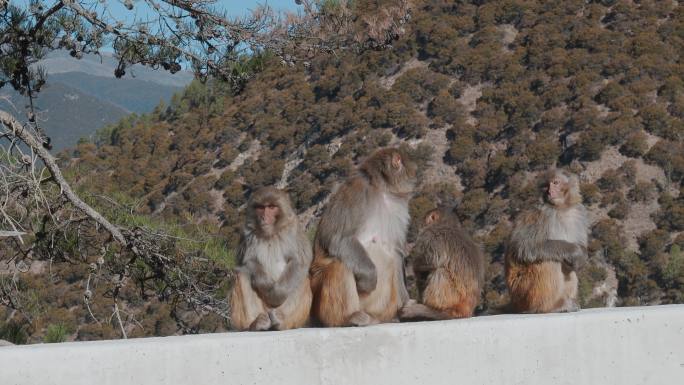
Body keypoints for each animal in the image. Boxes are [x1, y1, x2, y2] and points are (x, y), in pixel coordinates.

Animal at [231, 186, 314, 330]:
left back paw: (282, 322)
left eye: (271, 207)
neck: (270, 233)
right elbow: (247, 261)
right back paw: (254, 324)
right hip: (262, 309)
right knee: (242, 274)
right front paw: (267, 288)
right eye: (260, 207)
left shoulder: (293, 230)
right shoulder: (246, 234)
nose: (264, 217)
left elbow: (299, 260)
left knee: (302, 279)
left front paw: (276, 295)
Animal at [310, 147, 416, 328]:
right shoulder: (357, 192)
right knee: (340, 264)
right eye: (410, 166)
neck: (381, 190)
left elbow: (396, 252)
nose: (415, 174)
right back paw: (348, 318)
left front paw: (406, 305)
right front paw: (368, 280)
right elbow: (338, 239)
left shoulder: (398, 209)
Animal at [504, 168, 592, 312]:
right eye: (546, 186)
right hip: (523, 292)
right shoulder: (542, 214)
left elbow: (581, 246)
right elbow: (524, 245)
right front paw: (574, 251)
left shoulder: (579, 213)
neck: (561, 208)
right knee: (549, 260)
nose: (550, 192)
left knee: (566, 265)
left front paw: (580, 256)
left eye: (555, 183)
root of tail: (514, 303)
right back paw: (551, 306)